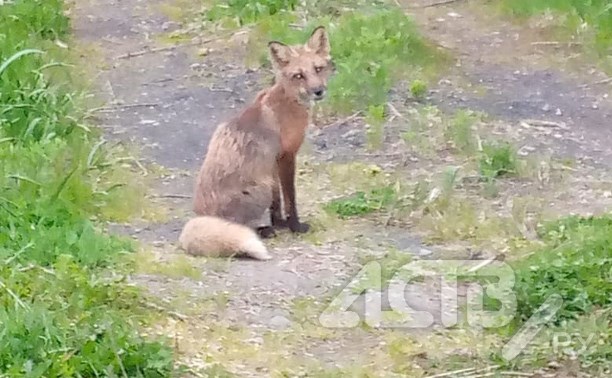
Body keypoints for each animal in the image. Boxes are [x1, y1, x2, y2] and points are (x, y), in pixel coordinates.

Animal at [177, 25, 334, 260]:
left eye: (318, 68)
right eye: (298, 75)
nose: (318, 91)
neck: (287, 103)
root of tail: (200, 217)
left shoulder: (273, 165)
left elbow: (277, 203)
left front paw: (280, 223)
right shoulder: (287, 156)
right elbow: (290, 198)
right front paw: (295, 226)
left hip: (265, 184)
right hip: (261, 190)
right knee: (240, 228)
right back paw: (263, 231)